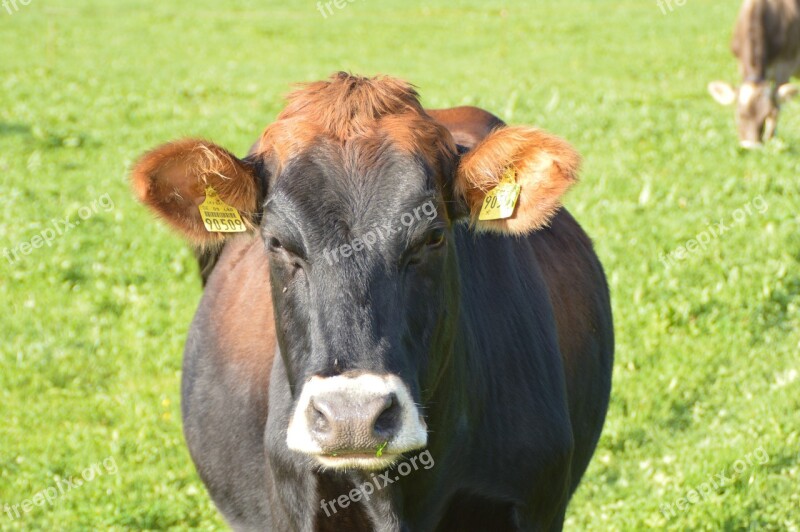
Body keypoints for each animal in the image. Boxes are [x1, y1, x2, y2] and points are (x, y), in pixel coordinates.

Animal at [708, 0, 796, 148]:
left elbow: (777, 106)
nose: (751, 148)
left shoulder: (784, 67)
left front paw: (771, 140)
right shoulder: (741, 64)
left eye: (766, 115)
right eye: (739, 115)